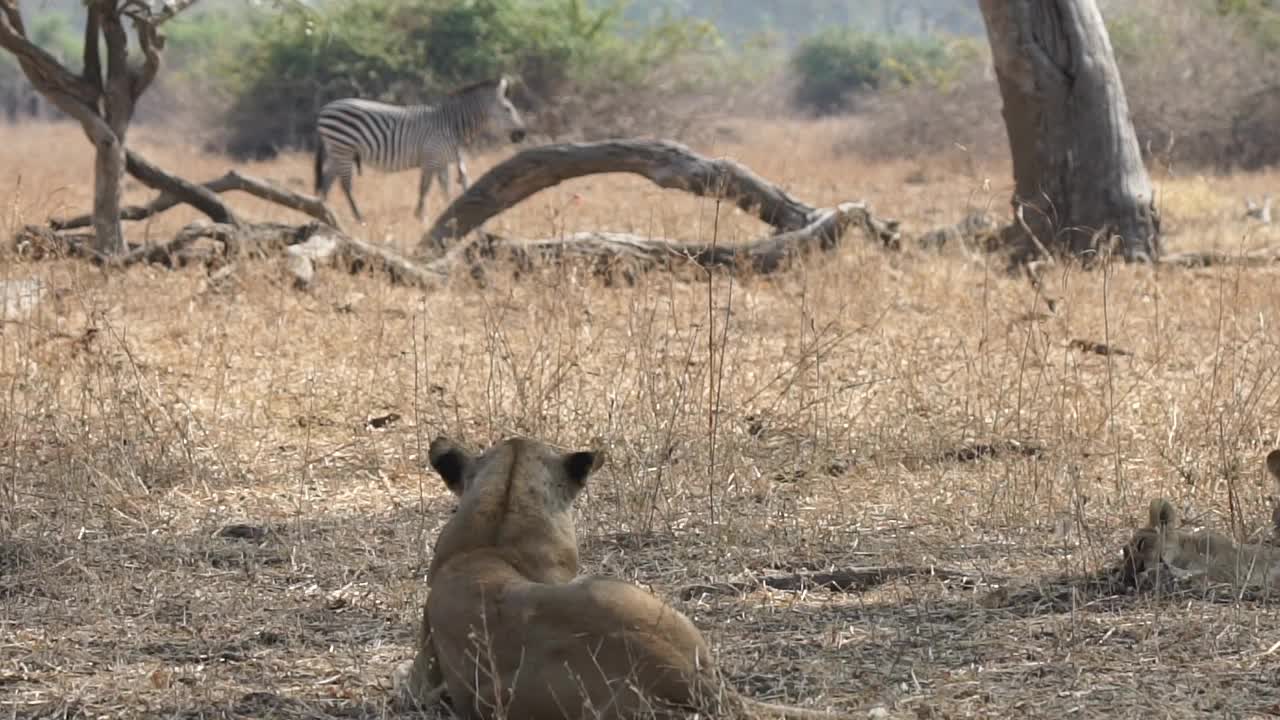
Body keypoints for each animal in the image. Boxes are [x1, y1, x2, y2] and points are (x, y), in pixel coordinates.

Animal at [312, 75, 527, 221]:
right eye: (508, 109)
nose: (522, 134)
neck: (451, 125)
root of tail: (325, 108)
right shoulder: (431, 159)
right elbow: (424, 189)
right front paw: (421, 217)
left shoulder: (442, 162)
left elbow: (445, 190)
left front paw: (449, 213)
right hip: (343, 148)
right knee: (345, 184)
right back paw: (358, 218)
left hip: (337, 151)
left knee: (327, 181)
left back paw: (323, 210)